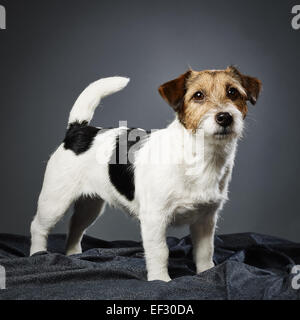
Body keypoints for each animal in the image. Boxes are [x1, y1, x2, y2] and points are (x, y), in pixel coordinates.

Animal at [29, 66, 262, 282]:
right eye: (198, 95)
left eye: (233, 92)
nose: (225, 117)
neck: (199, 156)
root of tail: (78, 131)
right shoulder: (154, 218)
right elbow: (160, 251)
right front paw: (161, 279)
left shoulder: (205, 220)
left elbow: (205, 251)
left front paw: (206, 273)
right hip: (55, 201)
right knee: (38, 227)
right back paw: (38, 255)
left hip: (91, 205)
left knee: (76, 226)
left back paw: (74, 256)